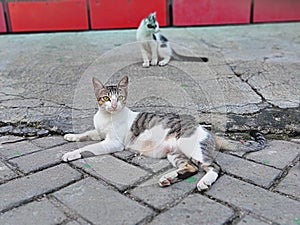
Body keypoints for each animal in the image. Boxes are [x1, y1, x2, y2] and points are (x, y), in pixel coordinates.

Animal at [62, 76, 266, 191]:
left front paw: (71, 153)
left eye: (119, 97)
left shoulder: (112, 142)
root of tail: (205, 129)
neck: (107, 117)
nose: (113, 105)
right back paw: (169, 178)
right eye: (105, 98)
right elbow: (87, 134)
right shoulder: (98, 133)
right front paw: (71, 136)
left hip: (190, 147)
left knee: (215, 167)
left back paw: (204, 182)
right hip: (175, 154)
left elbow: (90, 147)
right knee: (191, 168)